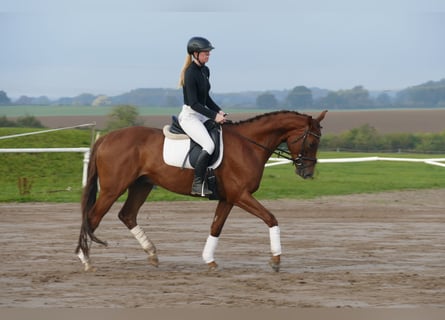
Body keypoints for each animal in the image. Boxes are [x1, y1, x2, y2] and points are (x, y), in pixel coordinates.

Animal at [75, 110, 326, 272]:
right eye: (312, 143)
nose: (307, 173)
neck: (249, 144)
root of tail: (106, 138)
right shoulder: (241, 195)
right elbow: (271, 218)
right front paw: (275, 260)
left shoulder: (229, 198)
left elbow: (216, 227)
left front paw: (209, 260)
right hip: (113, 188)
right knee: (92, 217)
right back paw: (85, 259)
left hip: (141, 185)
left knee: (126, 215)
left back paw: (152, 254)